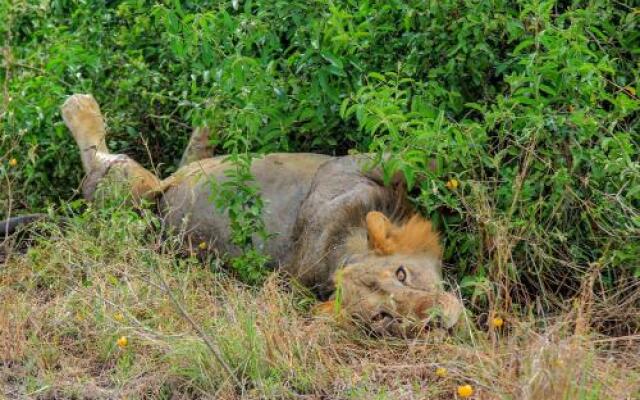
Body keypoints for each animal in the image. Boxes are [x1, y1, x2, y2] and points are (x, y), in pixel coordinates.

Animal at [10, 95, 464, 336]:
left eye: (402, 274)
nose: (442, 319)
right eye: (383, 317)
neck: (341, 244)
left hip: (164, 185)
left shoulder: (356, 165)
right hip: (134, 197)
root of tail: (165, 196)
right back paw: (79, 108)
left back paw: (209, 121)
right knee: (99, 162)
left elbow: (429, 161)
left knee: (181, 159)